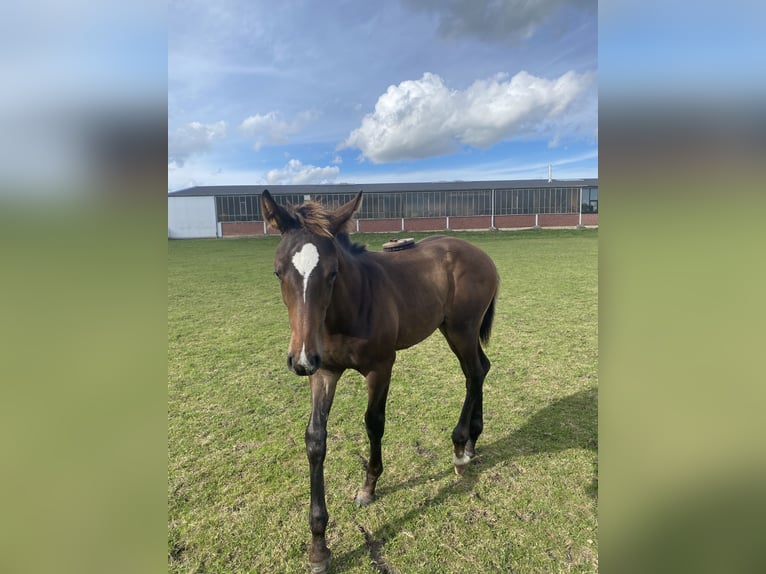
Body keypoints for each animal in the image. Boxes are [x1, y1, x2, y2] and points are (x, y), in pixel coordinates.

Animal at [262, 191, 504, 572]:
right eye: (278, 272)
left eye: (332, 272)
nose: (300, 360)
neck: (351, 306)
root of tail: (481, 255)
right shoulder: (324, 372)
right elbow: (315, 439)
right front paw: (318, 546)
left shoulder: (381, 367)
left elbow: (374, 423)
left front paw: (369, 486)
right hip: (453, 330)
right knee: (481, 368)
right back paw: (472, 442)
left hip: (462, 329)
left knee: (474, 373)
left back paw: (461, 447)